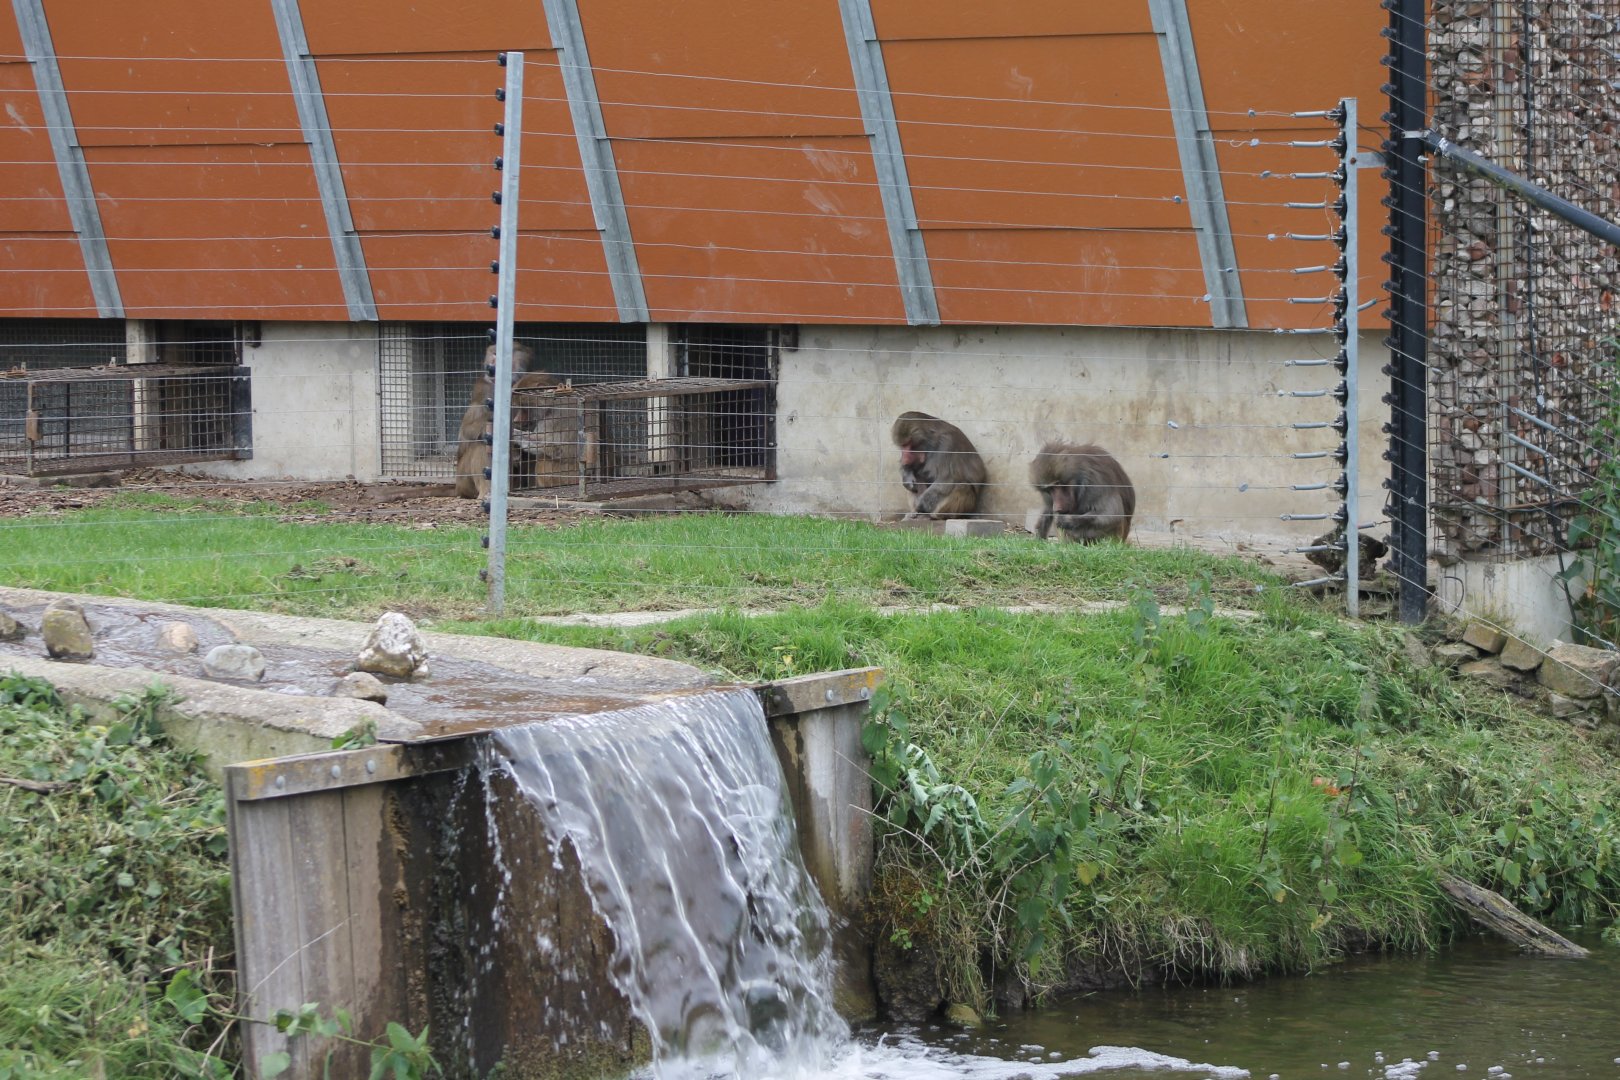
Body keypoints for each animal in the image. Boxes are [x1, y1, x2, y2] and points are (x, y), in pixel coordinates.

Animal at [453, 343, 558, 500]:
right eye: (494, 354)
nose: (491, 365)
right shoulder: (484, 389)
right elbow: (468, 431)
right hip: (463, 478)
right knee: (481, 443)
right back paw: (487, 491)